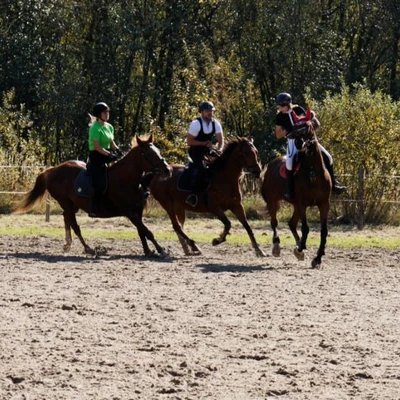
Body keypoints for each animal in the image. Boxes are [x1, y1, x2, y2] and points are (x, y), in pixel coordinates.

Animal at [12, 134, 172, 256]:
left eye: (158, 151)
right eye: (149, 154)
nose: (167, 170)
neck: (127, 180)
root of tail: (52, 170)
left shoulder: (138, 211)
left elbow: (141, 231)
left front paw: (148, 251)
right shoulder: (130, 212)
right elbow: (147, 231)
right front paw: (160, 250)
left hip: (73, 205)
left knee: (66, 218)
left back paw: (68, 244)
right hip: (66, 203)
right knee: (74, 224)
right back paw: (88, 248)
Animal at [260, 123, 332, 268]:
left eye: (304, 128)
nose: (290, 137)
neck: (313, 173)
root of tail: (271, 164)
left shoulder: (324, 204)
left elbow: (323, 231)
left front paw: (317, 258)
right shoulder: (302, 204)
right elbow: (305, 228)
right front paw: (300, 249)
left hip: (295, 205)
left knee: (292, 224)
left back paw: (299, 247)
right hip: (273, 200)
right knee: (274, 222)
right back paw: (277, 246)